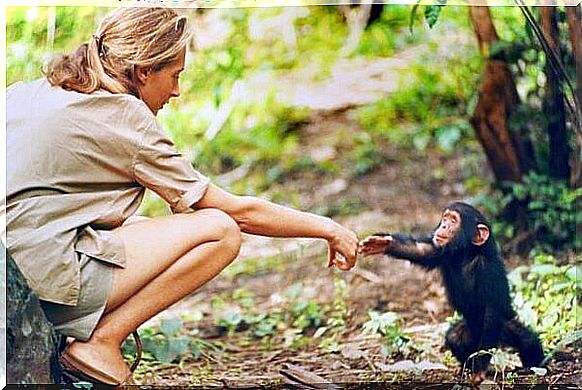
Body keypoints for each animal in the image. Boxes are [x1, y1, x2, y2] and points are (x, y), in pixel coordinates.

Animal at [360, 203, 548, 380]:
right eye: (445, 218)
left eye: (453, 221)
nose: (443, 226)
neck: (466, 254)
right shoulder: (441, 251)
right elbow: (421, 250)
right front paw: (382, 243)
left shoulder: (487, 271)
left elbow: (491, 312)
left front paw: (480, 368)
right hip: (469, 332)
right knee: (455, 338)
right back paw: (465, 366)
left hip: (502, 328)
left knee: (527, 340)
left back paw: (534, 366)